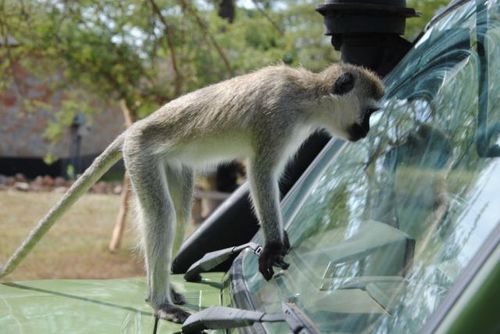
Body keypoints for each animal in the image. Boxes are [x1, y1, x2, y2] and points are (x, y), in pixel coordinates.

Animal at [0, 62, 384, 320]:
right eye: (368, 112)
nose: (366, 130)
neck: (307, 94)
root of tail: (134, 128)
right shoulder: (277, 119)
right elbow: (261, 175)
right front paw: (274, 245)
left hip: (171, 163)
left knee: (181, 214)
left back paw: (161, 291)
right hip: (140, 154)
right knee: (161, 215)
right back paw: (159, 302)